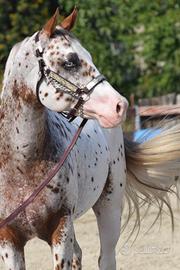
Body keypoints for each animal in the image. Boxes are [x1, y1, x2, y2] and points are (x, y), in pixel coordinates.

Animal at [1, 6, 180, 270]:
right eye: (70, 61)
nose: (120, 106)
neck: (20, 163)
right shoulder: (9, 238)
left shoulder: (60, 228)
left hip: (110, 207)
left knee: (106, 258)